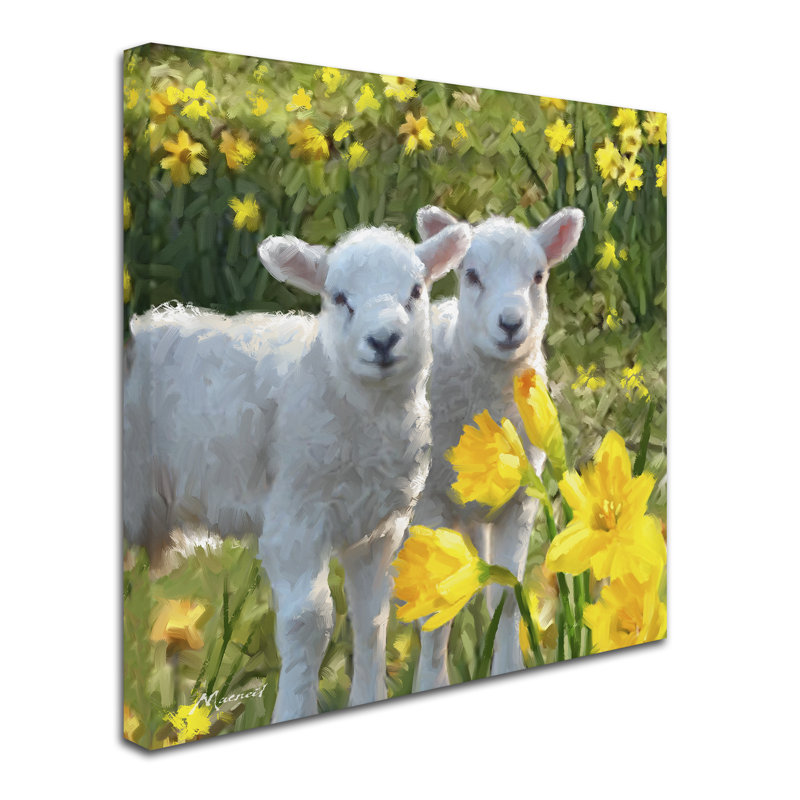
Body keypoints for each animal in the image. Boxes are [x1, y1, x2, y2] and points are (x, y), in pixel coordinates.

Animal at [123, 222, 472, 723]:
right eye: (339, 297)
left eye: (416, 291)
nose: (383, 341)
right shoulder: (295, 517)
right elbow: (310, 621)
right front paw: (293, 711)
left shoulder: (379, 526)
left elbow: (371, 617)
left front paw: (368, 698)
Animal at [410, 205, 584, 690]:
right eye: (471, 274)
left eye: (539, 276)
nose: (510, 324)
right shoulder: (432, 503)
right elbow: (434, 619)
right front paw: (430, 683)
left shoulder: (521, 502)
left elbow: (508, 599)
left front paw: (507, 666)